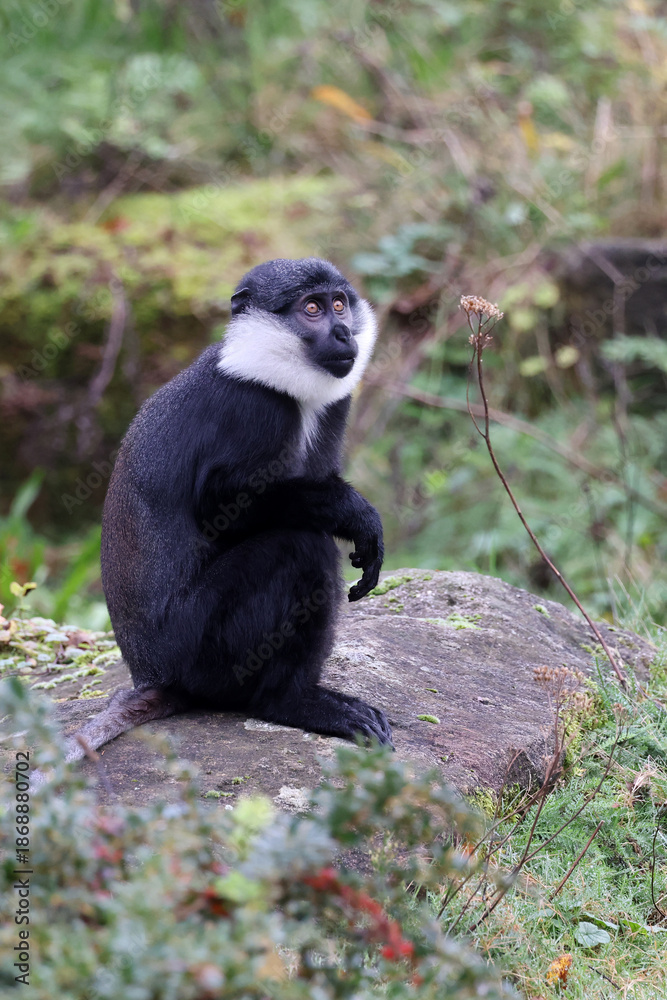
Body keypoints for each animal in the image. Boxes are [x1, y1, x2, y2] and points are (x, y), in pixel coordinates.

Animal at [59, 257, 392, 768]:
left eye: (339, 304)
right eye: (311, 309)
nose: (342, 333)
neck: (267, 368)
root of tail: (153, 675)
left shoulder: (336, 405)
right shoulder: (253, 407)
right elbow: (222, 507)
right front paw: (354, 516)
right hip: (200, 649)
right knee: (297, 545)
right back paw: (289, 703)